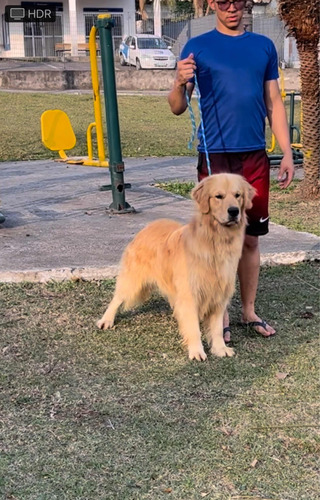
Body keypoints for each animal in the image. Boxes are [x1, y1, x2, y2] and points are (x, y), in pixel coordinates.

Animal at [97, 174, 255, 362]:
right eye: (219, 196)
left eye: (238, 195)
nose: (234, 211)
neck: (215, 241)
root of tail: (147, 226)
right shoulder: (190, 294)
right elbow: (193, 327)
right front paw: (196, 351)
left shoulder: (219, 294)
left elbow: (217, 328)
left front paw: (220, 348)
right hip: (133, 279)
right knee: (117, 298)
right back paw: (106, 320)